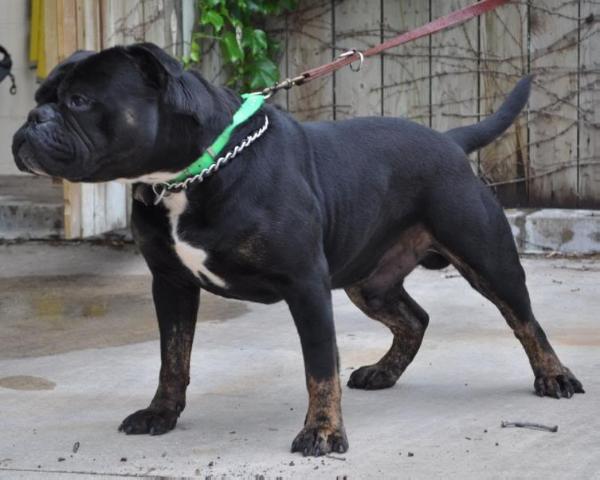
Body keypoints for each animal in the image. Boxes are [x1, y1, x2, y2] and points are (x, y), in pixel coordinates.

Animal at [11, 43, 584, 456]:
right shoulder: (170, 284)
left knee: (524, 320)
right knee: (414, 318)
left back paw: (554, 376)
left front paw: (324, 434)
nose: (31, 121)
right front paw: (162, 413)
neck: (187, 176)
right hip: (369, 282)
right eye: (40, 97)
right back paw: (383, 371)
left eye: (80, 101)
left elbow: (319, 366)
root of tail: (450, 141)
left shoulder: (306, 286)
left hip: (486, 257)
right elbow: (172, 357)